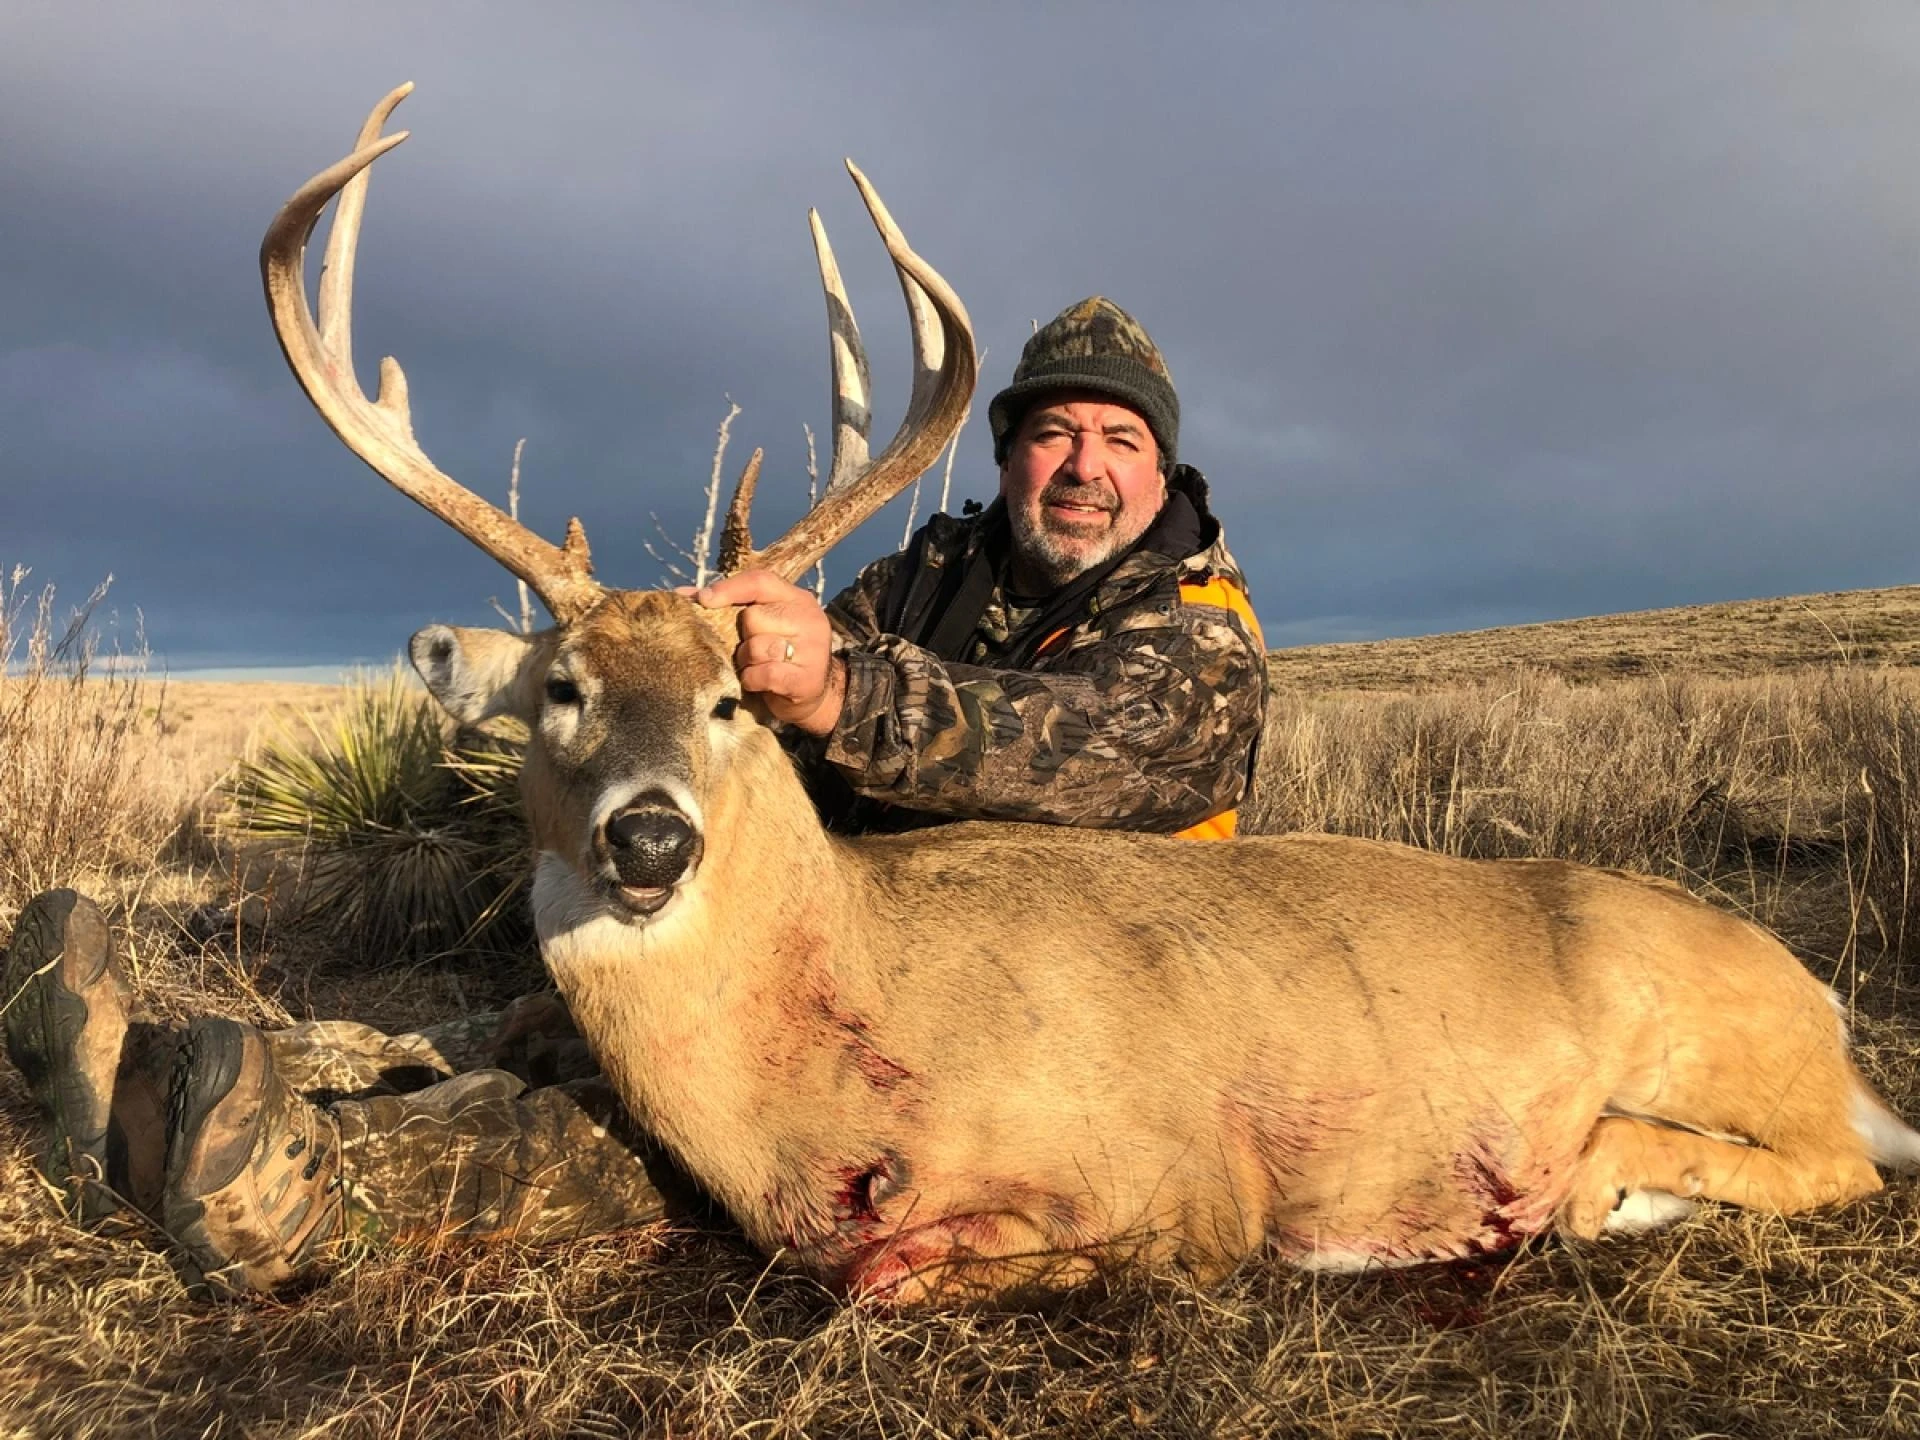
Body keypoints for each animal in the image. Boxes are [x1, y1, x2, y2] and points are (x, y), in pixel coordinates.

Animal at [261, 85, 1920, 1305]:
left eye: (735, 698)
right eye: (561, 688)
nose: (651, 838)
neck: (834, 1034)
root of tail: (1825, 1004)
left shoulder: (1180, 1185)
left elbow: (899, 1273)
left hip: (1706, 1039)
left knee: (1832, 1161)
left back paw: (1593, 1184)